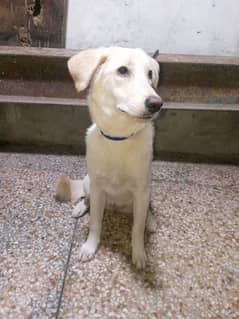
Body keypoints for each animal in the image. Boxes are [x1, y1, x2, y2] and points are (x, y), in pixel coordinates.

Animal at [57, 46, 163, 268]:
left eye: (150, 74)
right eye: (122, 70)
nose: (157, 104)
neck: (119, 139)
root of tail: (116, 207)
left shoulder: (141, 190)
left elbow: (137, 229)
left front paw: (139, 253)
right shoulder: (98, 188)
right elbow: (95, 223)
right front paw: (90, 246)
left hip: (148, 190)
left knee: (145, 212)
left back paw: (150, 220)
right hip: (89, 182)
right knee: (87, 199)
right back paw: (80, 207)